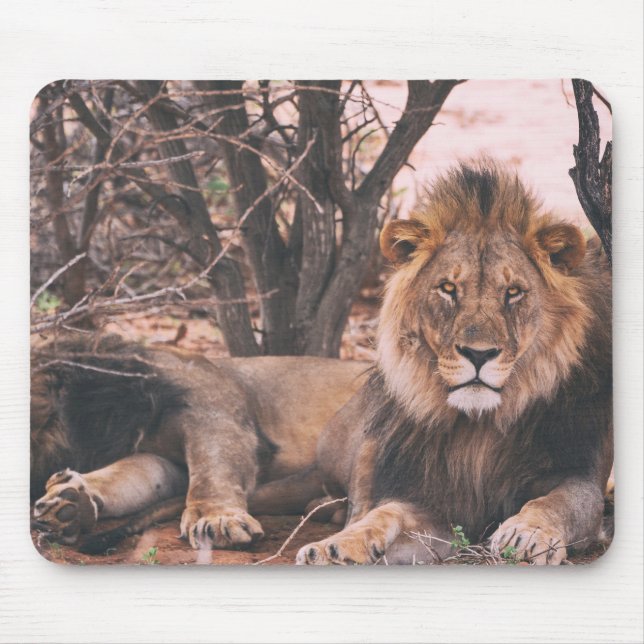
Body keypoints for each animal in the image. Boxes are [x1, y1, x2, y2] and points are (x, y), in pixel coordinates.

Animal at [31, 336, 367, 553]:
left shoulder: (211, 407)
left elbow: (211, 467)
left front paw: (215, 520)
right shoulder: (158, 456)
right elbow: (125, 477)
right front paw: (67, 505)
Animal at [297, 161, 612, 565]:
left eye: (513, 293)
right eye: (448, 289)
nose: (478, 354)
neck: (479, 429)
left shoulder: (581, 477)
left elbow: (555, 503)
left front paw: (525, 536)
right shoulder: (436, 503)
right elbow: (385, 512)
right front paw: (337, 546)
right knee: (361, 498)